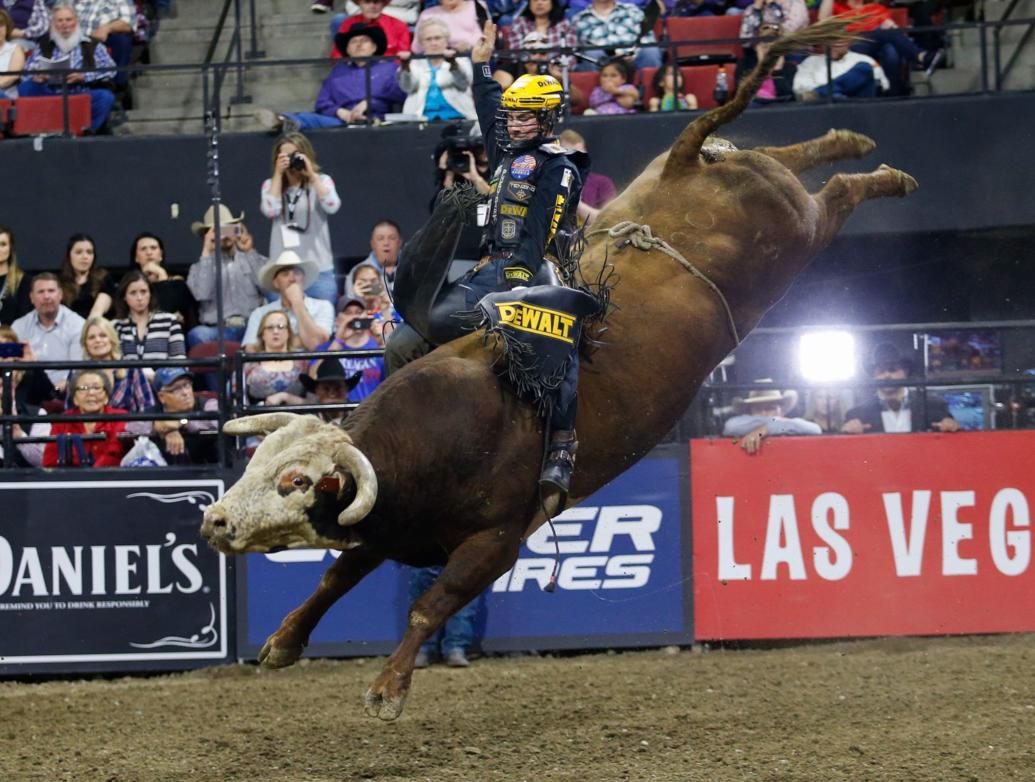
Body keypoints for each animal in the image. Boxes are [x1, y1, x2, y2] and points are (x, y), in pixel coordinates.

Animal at [199, 18, 914, 724]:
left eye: (295, 481)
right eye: (258, 463)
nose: (216, 521)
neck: (435, 435)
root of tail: (686, 159)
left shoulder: (495, 545)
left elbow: (429, 606)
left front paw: (388, 688)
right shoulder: (387, 528)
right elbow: (335, 576)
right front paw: (283, 642)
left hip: (796, 235)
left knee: (837, 194)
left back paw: (887, 176)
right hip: (750, 184)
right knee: (792, 158)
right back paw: (851, 140)